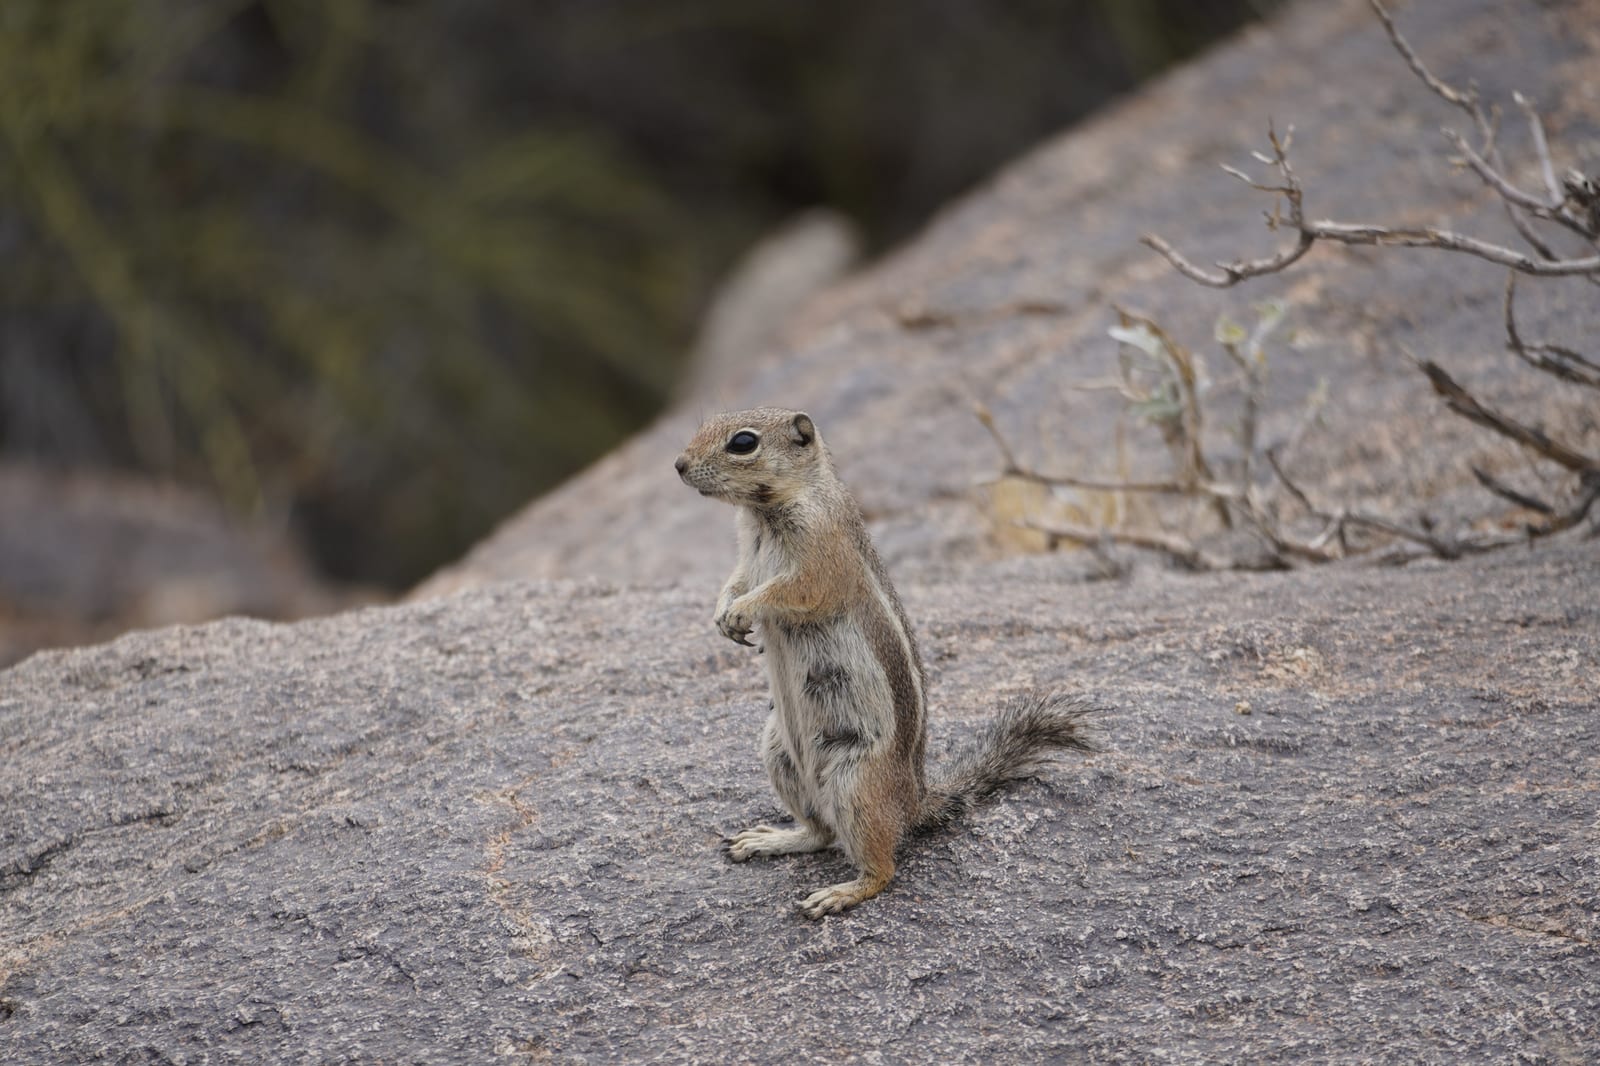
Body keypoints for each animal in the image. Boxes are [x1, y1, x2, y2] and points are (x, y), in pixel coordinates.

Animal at [675, 407, 1097, 918]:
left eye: (742, 443)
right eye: (705, 423)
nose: (678, 464)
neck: (765, 512)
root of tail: (914, 803)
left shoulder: (821, 556)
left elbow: (794, 590)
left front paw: (742, 611)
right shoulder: (746, 558)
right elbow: (735, 580)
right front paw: (723, 614)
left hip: (855, 784)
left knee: (882, 867)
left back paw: (841, 892)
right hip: (779, 756)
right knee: (819, 833)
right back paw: (772, 840)